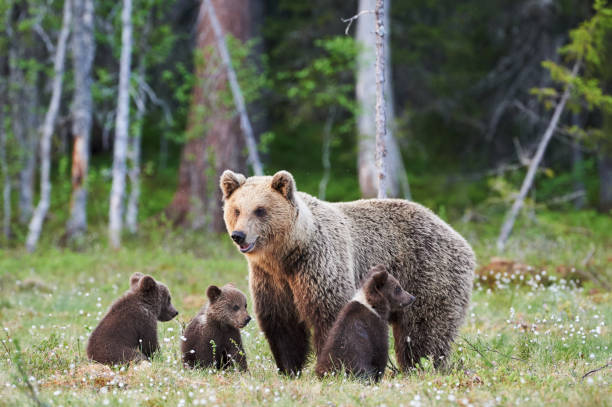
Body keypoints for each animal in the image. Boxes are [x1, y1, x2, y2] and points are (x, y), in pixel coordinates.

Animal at [219, 170, 474, 376]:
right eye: (236, 210)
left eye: (260, 210)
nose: (239, 235)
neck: (288, 254)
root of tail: (458, 236)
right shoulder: (271, 280)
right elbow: (282, 325)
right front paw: (289, 369)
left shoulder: (319, 264)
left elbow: (330, 314)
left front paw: (332, 366)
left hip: (427, 273)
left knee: (423, 330)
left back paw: (421, 366)